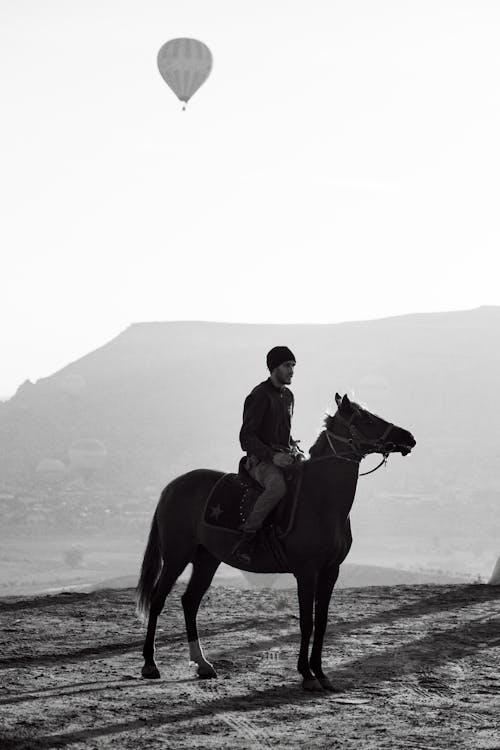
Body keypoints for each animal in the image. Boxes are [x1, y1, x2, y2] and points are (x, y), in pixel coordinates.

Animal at [136, 394, 414, 692]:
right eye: (367, 419)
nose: (407, 437)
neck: (322, 499)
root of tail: (171, 487)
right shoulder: (306, 571)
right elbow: (307, 622)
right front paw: (307, 674)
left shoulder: (330, 571)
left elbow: (322, 621)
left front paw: (321, 673)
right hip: (176, 556)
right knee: (157, 599)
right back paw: (150, 664)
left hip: (207, 559)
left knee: (190, 601)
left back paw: (202, 663)